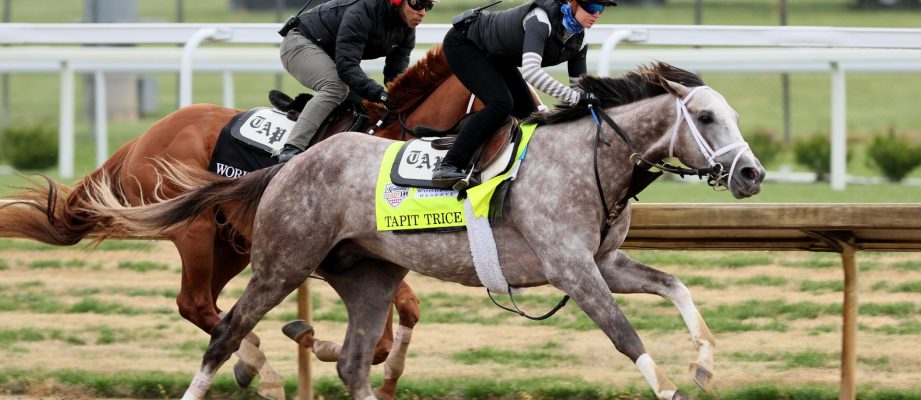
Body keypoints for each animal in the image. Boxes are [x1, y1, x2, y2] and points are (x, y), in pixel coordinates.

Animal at [0, 46, 491, 400]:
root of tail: (143, 138)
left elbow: (402, 317)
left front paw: (381, 377)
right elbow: (381, 334)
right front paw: (314, 340)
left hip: (230, 241)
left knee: (205, 306)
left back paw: (249, 361)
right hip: (195, 230)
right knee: (196, 302)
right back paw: (262, 372)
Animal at [83, 62, 766, 400]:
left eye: (733, 114)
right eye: (706, 117)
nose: (752, 173)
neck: (589, 160)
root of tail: (289, 164)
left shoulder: (604, 263)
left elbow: (675, 285)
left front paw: (704, 363)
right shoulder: (571, 268)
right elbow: (626, 337)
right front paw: (676, 386)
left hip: (367, 275)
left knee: (353, 361)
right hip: (277, 261)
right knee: (222, 329)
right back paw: (252, 373)